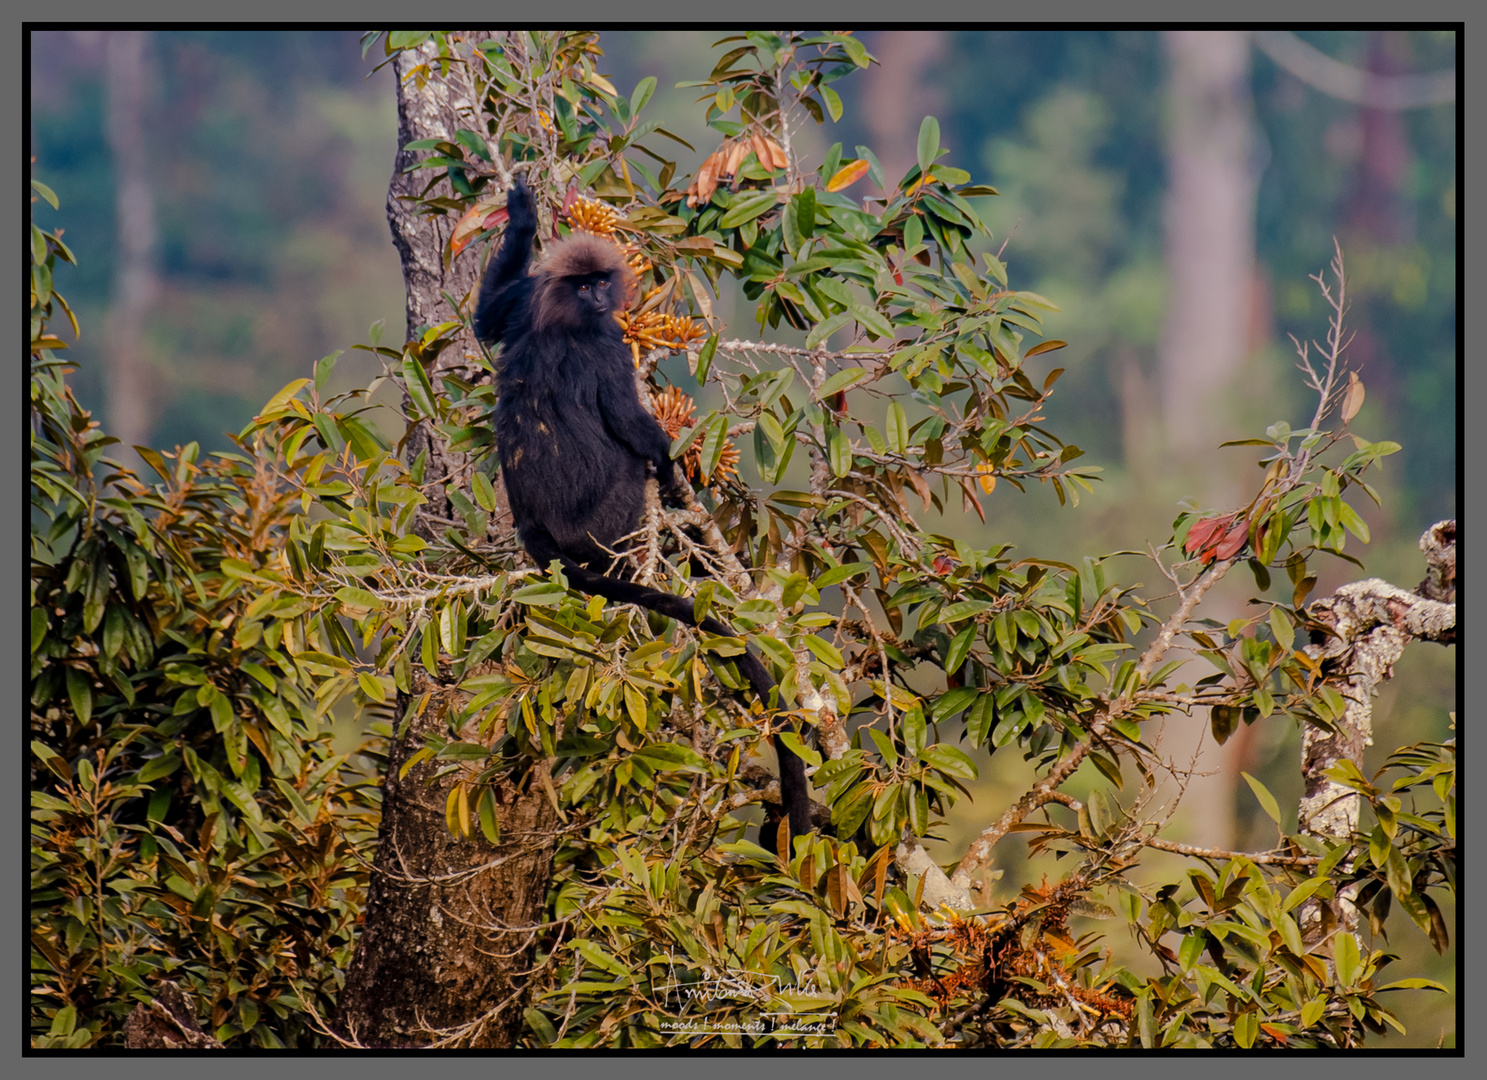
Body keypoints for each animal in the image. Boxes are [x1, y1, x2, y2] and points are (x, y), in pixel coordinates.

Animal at [472, 177, 814, 839]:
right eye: (585, 286)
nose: (601, 297)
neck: (561, 311)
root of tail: (533, 526)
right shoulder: (603, 345)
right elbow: (630, 423)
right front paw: (673, 465)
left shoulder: (526, 298)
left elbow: (484, 318)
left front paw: (522, 212)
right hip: (607, 516)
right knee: (632, 468)